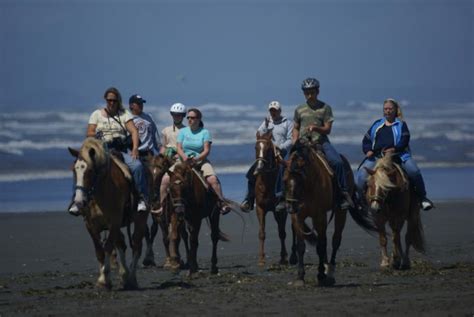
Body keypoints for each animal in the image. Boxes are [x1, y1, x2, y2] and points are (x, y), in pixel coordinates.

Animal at [67, 137, 147, 288]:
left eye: (90, 170)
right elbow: (99, 250)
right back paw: (124, 275)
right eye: (74, 170)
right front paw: (102, 278)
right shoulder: (90, 225)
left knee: (136, 246)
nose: (79, 202)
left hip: (140, 220)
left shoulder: (114, 222)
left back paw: (131, 279)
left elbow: (108, 247)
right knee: (122, 244)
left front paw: (105, 280)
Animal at [254, 132, 294, 266]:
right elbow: (261, 233)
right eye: (255, 147)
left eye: (268, 149)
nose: (259, 167)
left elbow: (282, 233)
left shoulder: (280, 211)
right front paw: (261, 259)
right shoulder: (260, 208)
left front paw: (284, 257)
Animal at [284, 139, 376, 286]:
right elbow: (301, 246)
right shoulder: (297, 217)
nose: (291, 206)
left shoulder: (319, 215)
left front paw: (321, 275)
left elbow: (321, 245)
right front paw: (300, 277)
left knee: (335, 240)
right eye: (285, 180)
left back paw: (330, 272)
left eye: (301, 179)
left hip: (340, 213)